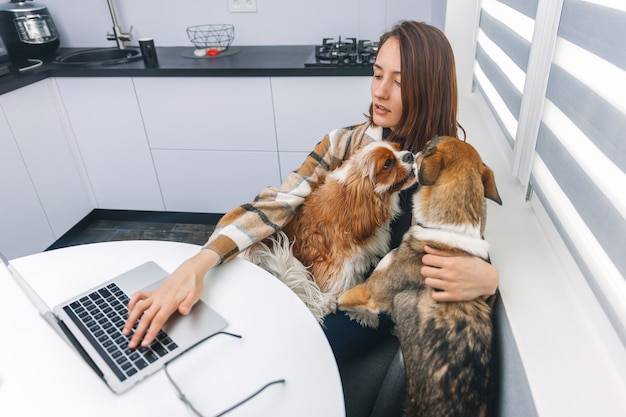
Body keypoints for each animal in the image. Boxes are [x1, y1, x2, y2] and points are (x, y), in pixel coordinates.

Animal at [243, 141, 414, 320]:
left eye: (398, 147)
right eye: (387, 163)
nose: (410, 155)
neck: (353, 199)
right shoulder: (336, 265)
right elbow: (342, 287)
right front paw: (362, 313)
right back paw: (325, 304)